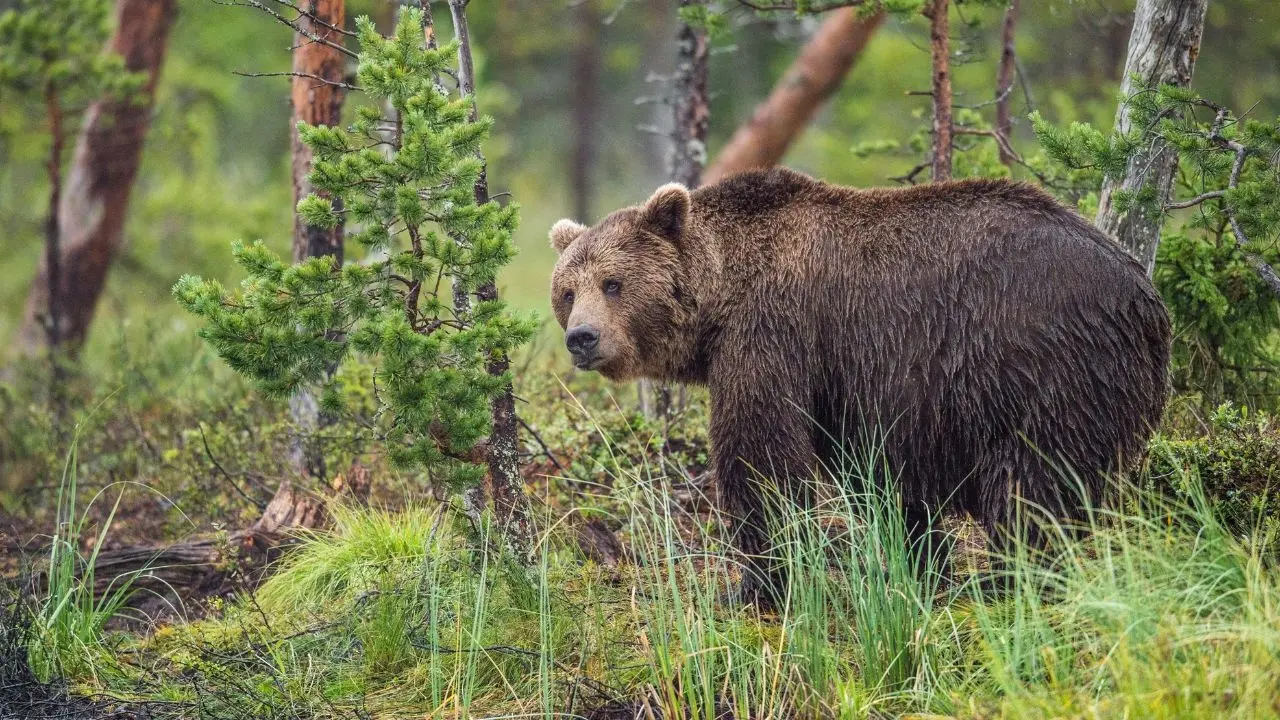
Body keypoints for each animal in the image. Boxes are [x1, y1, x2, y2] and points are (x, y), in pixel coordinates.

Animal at [547, 166, 1171, 604]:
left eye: (614, 283)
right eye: (568, 290)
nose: (582, 337)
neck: (720, 298)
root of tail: (1144, 295)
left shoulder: (774, 334)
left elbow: (762, 455)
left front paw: (753, 585)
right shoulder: (855, 381)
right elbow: (880, 473)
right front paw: (920, 561)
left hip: (1046, 363)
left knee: (1034, 483)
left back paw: (1011, 578)